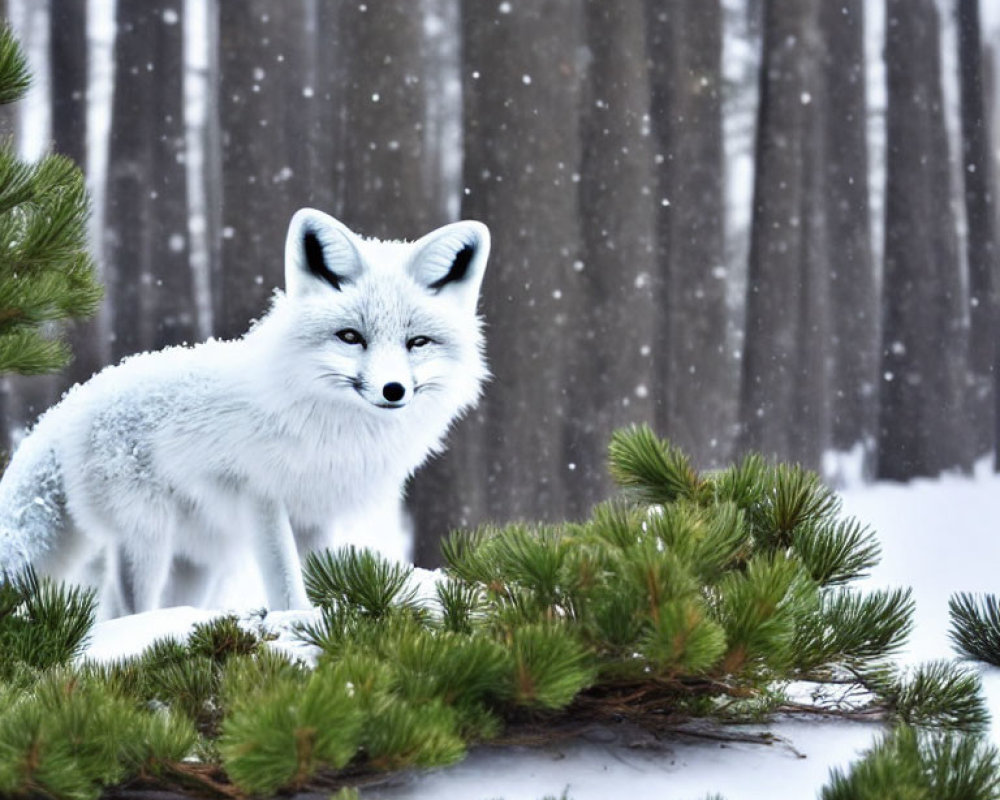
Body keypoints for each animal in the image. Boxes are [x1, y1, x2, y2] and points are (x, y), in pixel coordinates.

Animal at [0, 208, 488, 620]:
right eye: (351, 337)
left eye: (417, 342)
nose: (393, 390)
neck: (334, 430)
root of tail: (70, 404)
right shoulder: (259, 495)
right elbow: (284, 575)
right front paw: (296, 620)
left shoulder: (317, 512)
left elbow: (318, 572)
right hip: (146, 538)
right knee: (122, 611)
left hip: (197, 562)